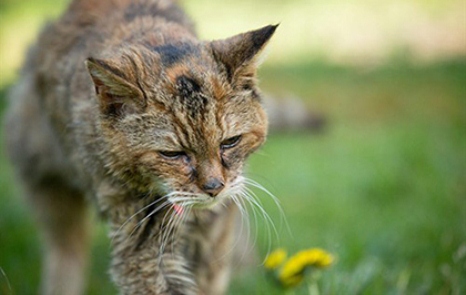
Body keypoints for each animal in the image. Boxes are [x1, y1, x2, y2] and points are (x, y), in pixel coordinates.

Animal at [3, 0, 278, 295]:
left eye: (230, 142)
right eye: (172, 154)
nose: (214, 188)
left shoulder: (213, 231)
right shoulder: (140, 239)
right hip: (46, 180)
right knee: (66, 245)